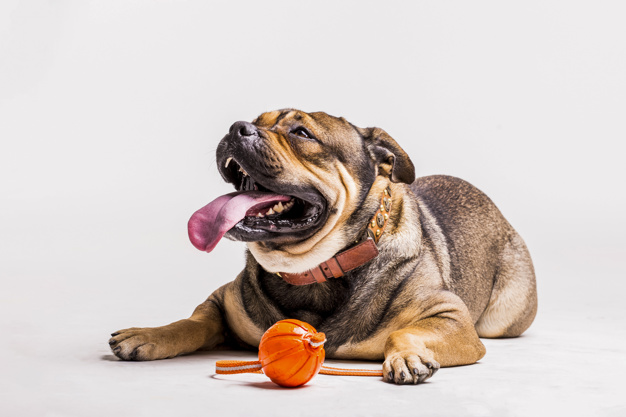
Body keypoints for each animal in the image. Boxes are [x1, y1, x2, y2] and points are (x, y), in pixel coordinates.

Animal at [108, 109, 536, 384]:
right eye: (256, 120)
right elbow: (191, 322)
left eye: (302, 133)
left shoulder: (450, 317)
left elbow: (405, 332)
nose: (237, 126)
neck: (312, 269)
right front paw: (147, 335)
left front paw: (408, 355)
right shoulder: (221, 302)